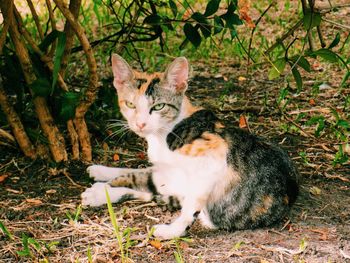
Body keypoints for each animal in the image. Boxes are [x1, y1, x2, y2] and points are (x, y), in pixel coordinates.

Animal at [81, 54, 298, 240]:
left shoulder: (213, 159)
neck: (164, 134)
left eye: (158, 106)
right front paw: (101, 176)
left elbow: (187, 207)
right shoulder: (166, 169)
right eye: (130, 105)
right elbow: (136, 173)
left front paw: (173, 231)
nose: (140, 124)